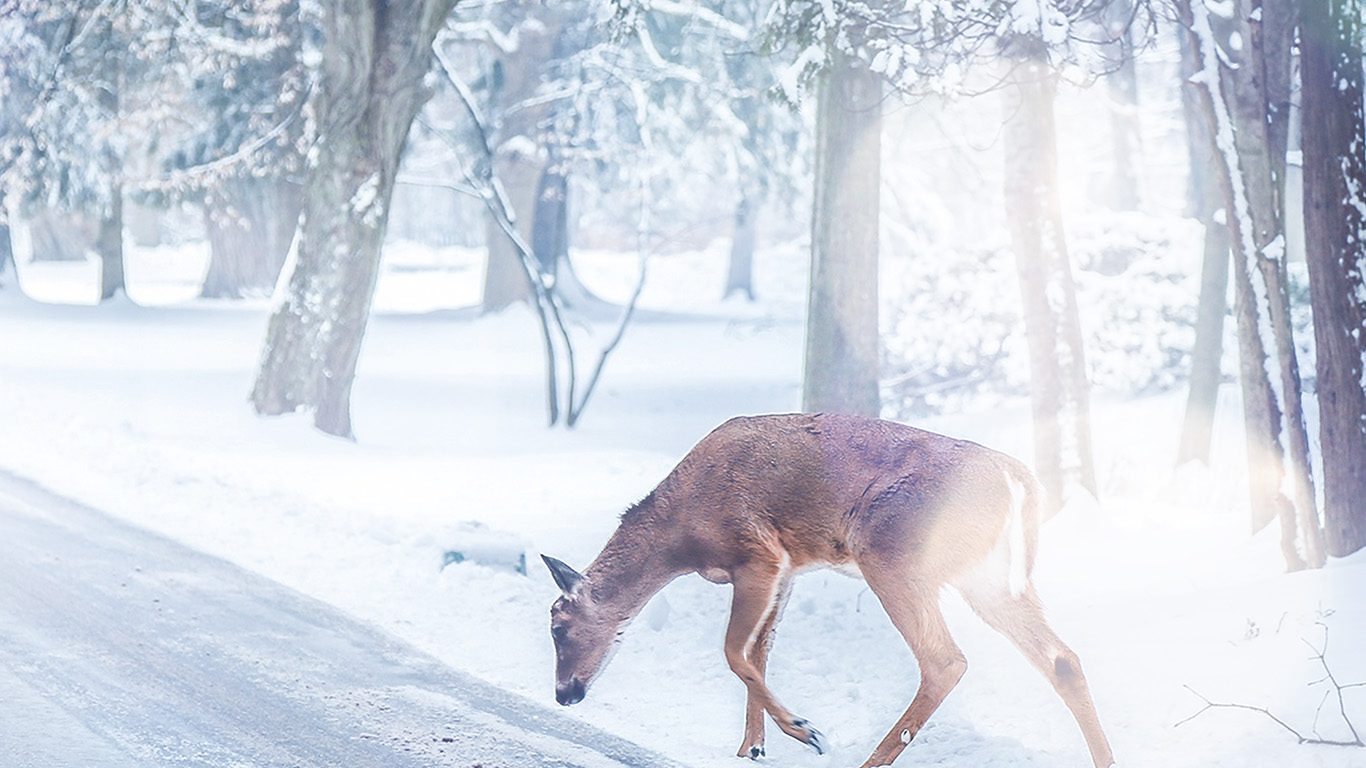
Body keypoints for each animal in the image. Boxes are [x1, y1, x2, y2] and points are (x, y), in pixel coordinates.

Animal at [541, 413, 1115, 768]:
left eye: (558, 627)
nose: (564, 694)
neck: (679, 536)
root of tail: (1018, 480)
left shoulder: (759, 553)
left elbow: (733, 652)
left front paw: (804, 730)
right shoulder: (789, 570)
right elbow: (758, 653)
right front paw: (751, 748)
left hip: (894, 553)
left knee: (945, 660)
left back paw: (867, 759)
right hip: (989, 578)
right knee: (1062, 659)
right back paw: (1107, 758)